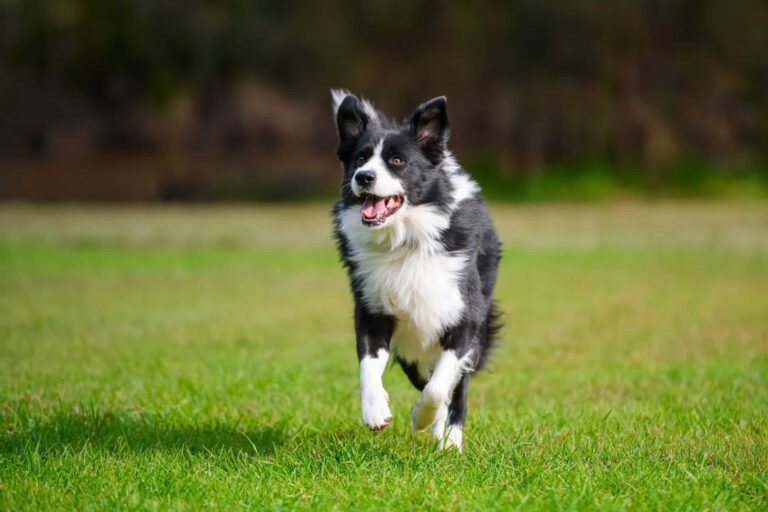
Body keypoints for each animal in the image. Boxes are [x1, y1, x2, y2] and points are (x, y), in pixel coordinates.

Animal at [332, 90, 500, 450]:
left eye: (397, 161)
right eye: (359, 158)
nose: (363, 177)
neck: (404, 240)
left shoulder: (464, 318)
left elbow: (439, 387)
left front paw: (421, 418)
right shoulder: (372, 309)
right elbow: (368, 365)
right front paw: (375, 410)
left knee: (456, 390)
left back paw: (450, 441)